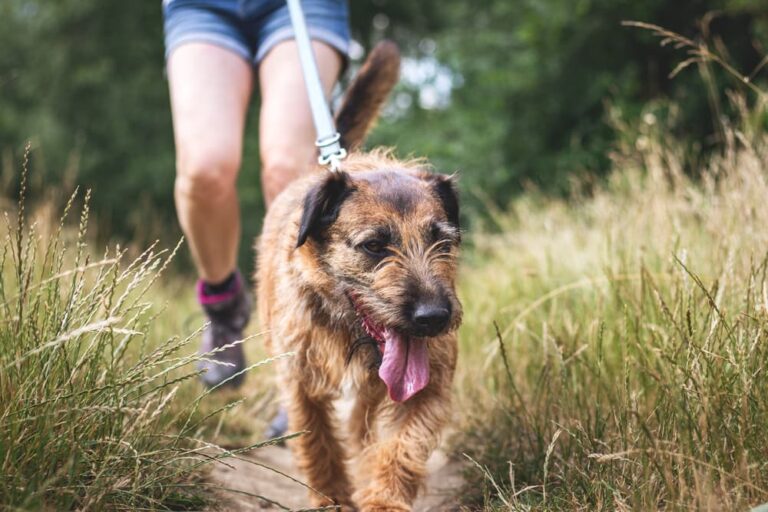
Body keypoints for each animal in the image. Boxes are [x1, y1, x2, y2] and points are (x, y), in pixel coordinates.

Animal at [256, 42, 462, 510]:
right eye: (374, 246)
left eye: (441, 242)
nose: (433, 317)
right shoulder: (299, 381)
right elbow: (318, 442)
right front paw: (332, 497)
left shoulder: (428, 383)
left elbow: (403, 444)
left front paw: (384, 497)